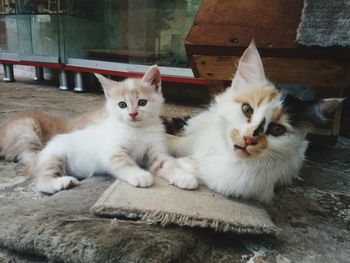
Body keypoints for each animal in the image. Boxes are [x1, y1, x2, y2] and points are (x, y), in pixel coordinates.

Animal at [165, 41, 344, 204]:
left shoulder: (231, 182)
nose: (249, 138)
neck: (225, 152)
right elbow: (174, 142)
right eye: (247, 110)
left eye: (277, 130)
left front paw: (182, 166)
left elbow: (197, 168)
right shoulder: (195, 141)